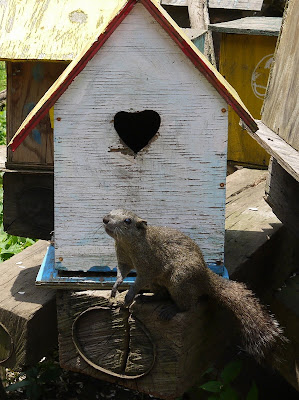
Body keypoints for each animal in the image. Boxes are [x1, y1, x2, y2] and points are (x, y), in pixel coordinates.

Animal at [103, 209, 288, 362]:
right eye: (111, 210)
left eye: (127, 221)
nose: (105, 219)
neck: (129, 244)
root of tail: (204, 278)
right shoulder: (123, 259)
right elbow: (122, 272)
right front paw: (116, 286)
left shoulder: (148, 266)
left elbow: (139, 280)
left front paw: (129, 294)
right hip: (158, 283)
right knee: (162, 294)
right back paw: (148, 298)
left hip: (179, 280)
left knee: (187, 305)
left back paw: (171, 309)